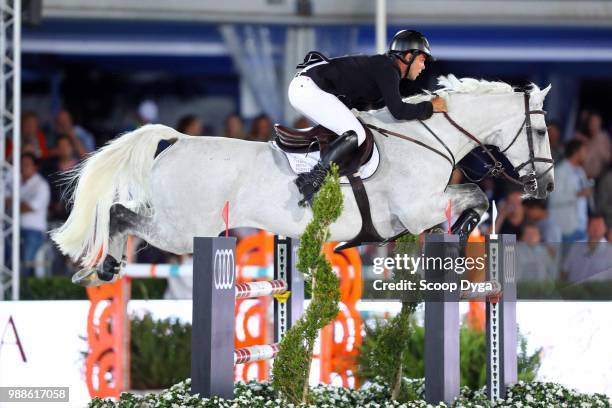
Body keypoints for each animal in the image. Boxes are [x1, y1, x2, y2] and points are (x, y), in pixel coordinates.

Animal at [52, 76, 556, 286]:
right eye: (540, 131)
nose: (546, 188)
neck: (428, 135)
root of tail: (175, 140)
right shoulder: (415, 209)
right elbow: (476, 196)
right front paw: (463, 231)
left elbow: (474, 196)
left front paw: (460, 232)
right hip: (182, 230)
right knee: (119, 214)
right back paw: (100, 267)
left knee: (122, 215)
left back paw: (102, 268)